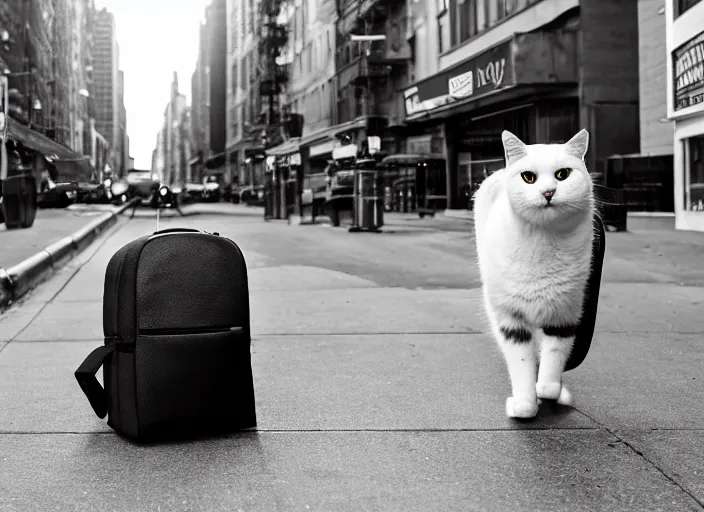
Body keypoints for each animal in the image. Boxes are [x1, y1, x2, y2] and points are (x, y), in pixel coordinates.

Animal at [472, 130, 592, 418]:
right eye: (528, 177)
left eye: (562, 174)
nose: (548, 192)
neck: (543, 239)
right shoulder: (510, 320)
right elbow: (522, 362)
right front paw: (524, 404)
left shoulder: (565, 315)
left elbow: (551, 372)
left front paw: (550, 391)